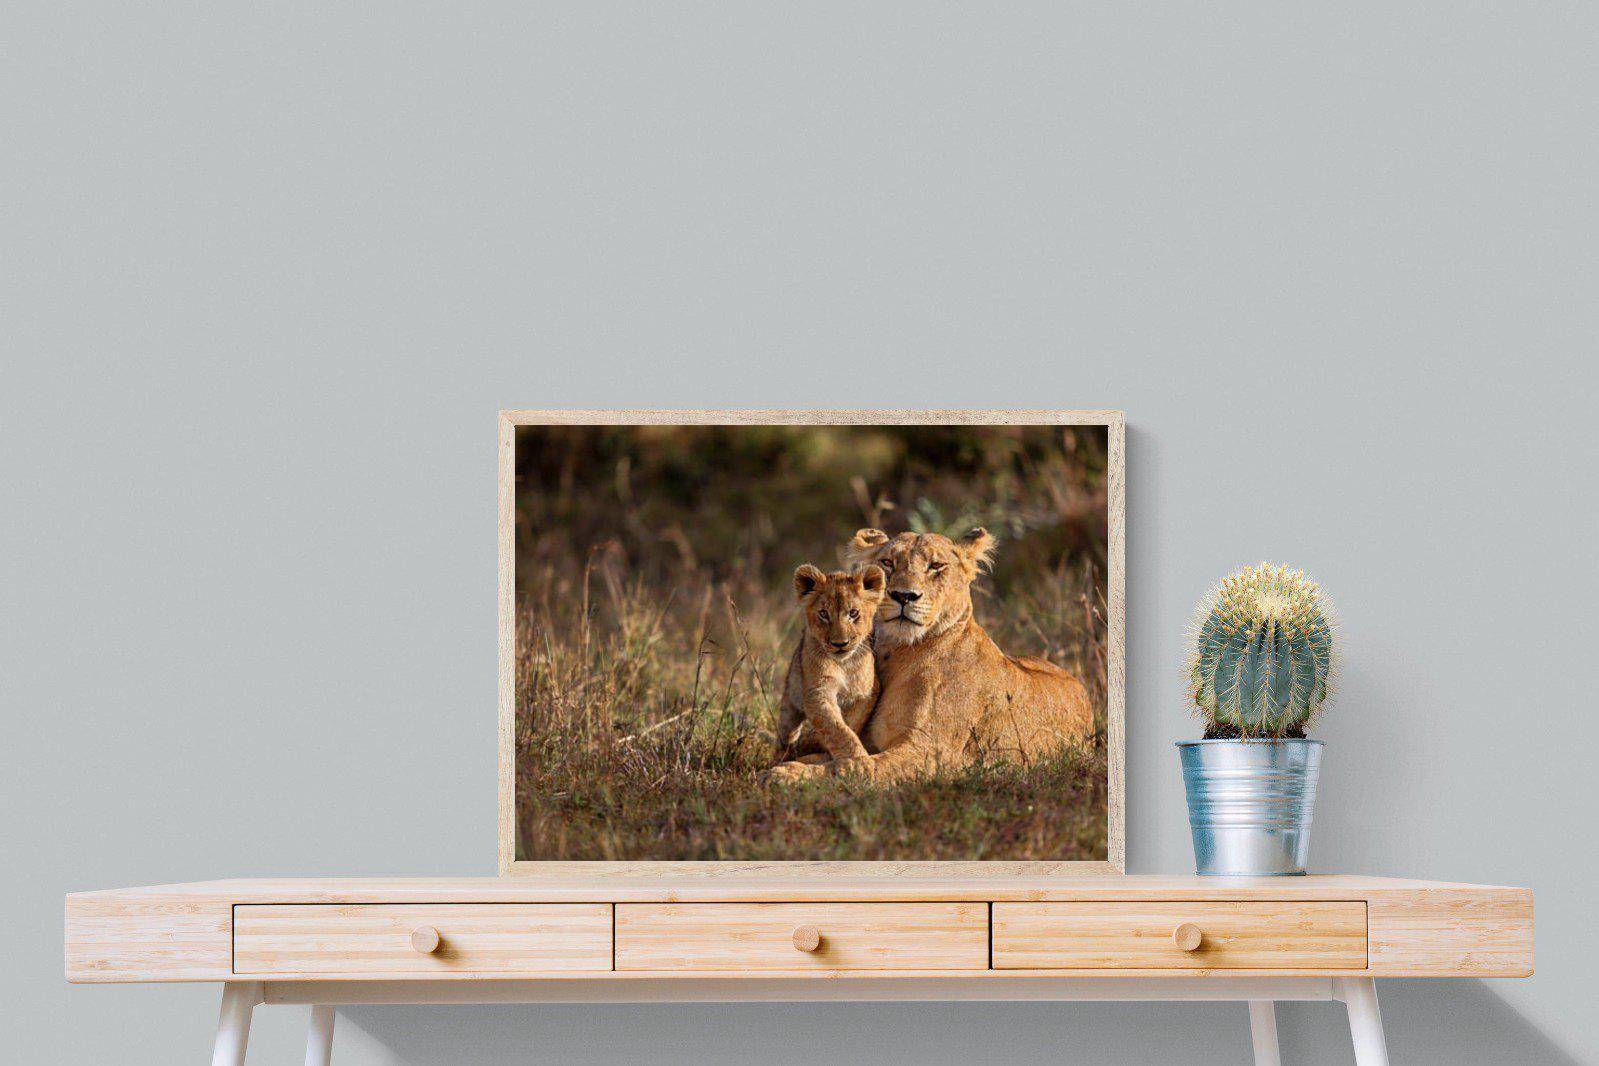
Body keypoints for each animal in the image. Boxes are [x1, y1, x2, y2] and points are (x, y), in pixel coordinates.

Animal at [772, 563, 887, 765]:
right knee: (786, 734)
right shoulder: (818, 692)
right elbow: (836, 729)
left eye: (853, 613)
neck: (844, 665)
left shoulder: (868, 692)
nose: (840, 644)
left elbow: (850, 723)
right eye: (824, 614)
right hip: (790, 702)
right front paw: (858, 760)